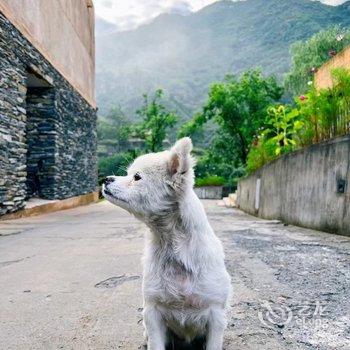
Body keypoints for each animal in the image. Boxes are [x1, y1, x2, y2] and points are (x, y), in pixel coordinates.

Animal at [102, 137, 231, 350]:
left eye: (136, 177)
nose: (105, 179)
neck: (173, 246)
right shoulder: (152, 313)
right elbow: (155, 344)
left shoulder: (216, 316)